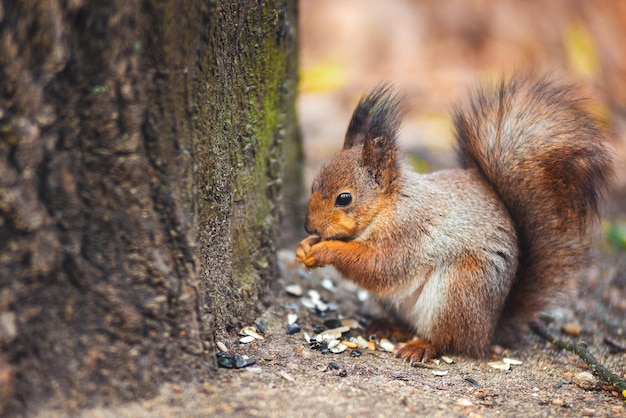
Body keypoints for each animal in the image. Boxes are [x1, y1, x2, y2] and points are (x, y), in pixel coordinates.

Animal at [294, 76, 612, 362]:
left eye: (344, 198)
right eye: (313, 185)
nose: (308, 226)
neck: (389, 206)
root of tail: (489, 329)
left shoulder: (408, 232)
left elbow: (377, 266)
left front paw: (324, 249)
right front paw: (304, 246)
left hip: (459, 289)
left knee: (452, 342)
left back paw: (422, 346)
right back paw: (389, 326)